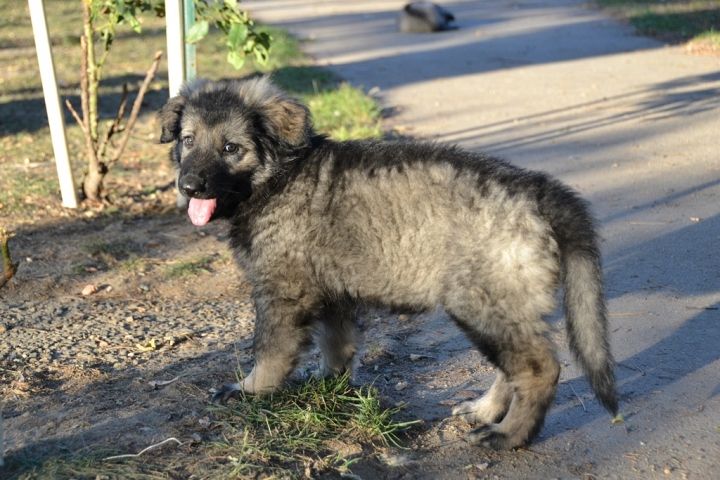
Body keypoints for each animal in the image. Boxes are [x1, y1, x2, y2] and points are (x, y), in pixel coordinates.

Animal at [159, 77, 618, 449]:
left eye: (231, 148)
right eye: (188, 140)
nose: (189, 186)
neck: (277, 178)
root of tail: (537, 189)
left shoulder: (282, 292)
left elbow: (270, 349)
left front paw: (251, 390)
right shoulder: (332, 291)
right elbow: (337, 343)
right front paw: (329, 384)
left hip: (483, 302)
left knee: (538, 369)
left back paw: (509, 436)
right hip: (499, 306)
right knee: (513, 367)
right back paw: (486, 411)